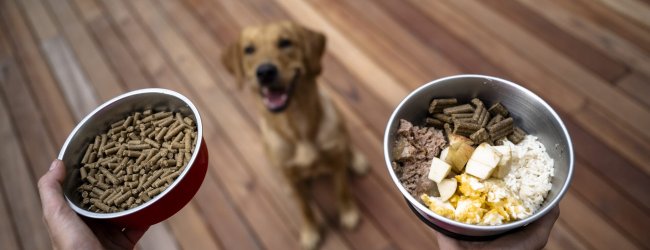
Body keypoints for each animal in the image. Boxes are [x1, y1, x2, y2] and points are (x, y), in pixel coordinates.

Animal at [221, 22, 364, 250]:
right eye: (249, 49)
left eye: (285, 42)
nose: (265, 72)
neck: (298, 124)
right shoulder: (291, 175)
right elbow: (304, 207)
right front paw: (310, 232)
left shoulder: (336, 161)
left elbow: (342, 189)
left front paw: (348, 213)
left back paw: (356, 160)